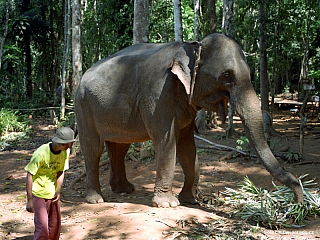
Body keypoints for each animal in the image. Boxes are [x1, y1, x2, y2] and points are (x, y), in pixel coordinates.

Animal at [75, 32, 302, 207]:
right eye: (227, 75)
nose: (297, 201)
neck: (192, 46)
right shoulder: (158, 94)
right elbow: (166, 142)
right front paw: (168, 204)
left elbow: (187, 146)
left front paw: (190, 200)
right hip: (84, 108)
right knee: (93, 150)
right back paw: (96, 199)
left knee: (119, 148)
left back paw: (125, 190)